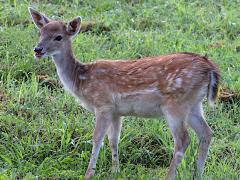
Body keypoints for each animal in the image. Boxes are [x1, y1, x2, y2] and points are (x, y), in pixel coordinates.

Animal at [29, 8, 220, 180]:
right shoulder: (116, 111)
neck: (82, 80)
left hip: (176, 104)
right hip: (194, 104)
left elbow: (97, 138)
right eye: (41, 32)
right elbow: (114, 139)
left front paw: (89, 174)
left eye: (58, 37)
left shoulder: (103, 104)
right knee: (206, 133)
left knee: (183, 140)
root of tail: (209, 68)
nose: (37, 49)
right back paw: (198, 174)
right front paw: (116, 171)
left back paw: (170, 176)